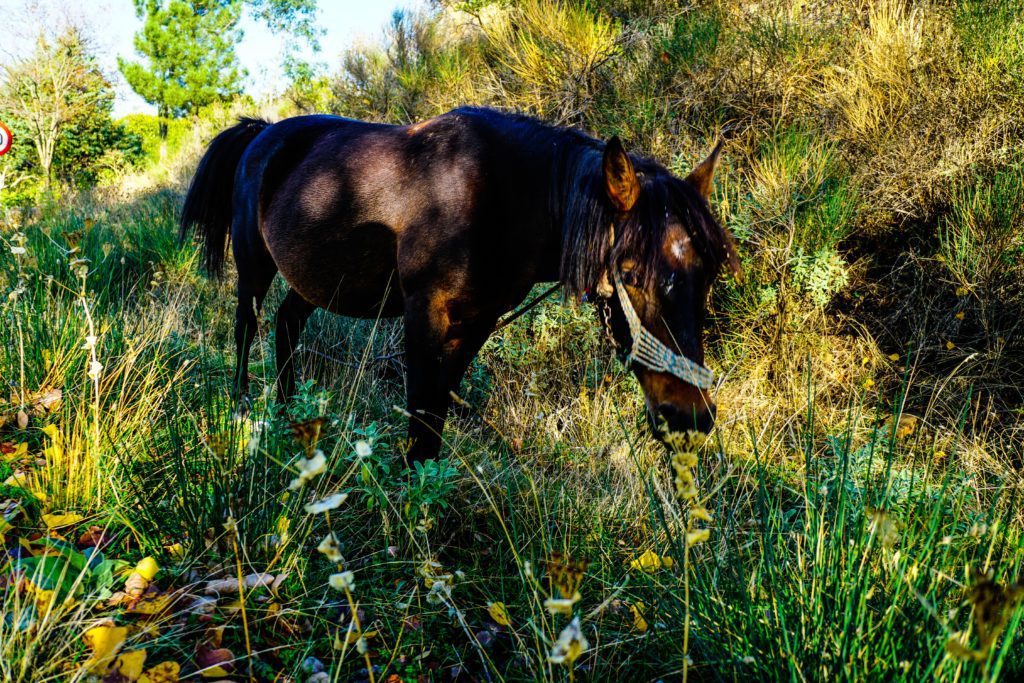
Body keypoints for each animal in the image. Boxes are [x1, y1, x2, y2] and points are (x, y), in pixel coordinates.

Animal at [176, 107, 737, 462]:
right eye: (629, 274)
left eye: (709, 273)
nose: (691, 416)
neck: (497, 197)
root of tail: (264, 132)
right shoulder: (423, 315)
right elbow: (423, 414)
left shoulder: (477, 324)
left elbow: (436, 415)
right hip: (253, 264)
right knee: (246, 327)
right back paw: (245, 412)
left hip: (318, 282)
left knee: (287, 324)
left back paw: (291, 413)